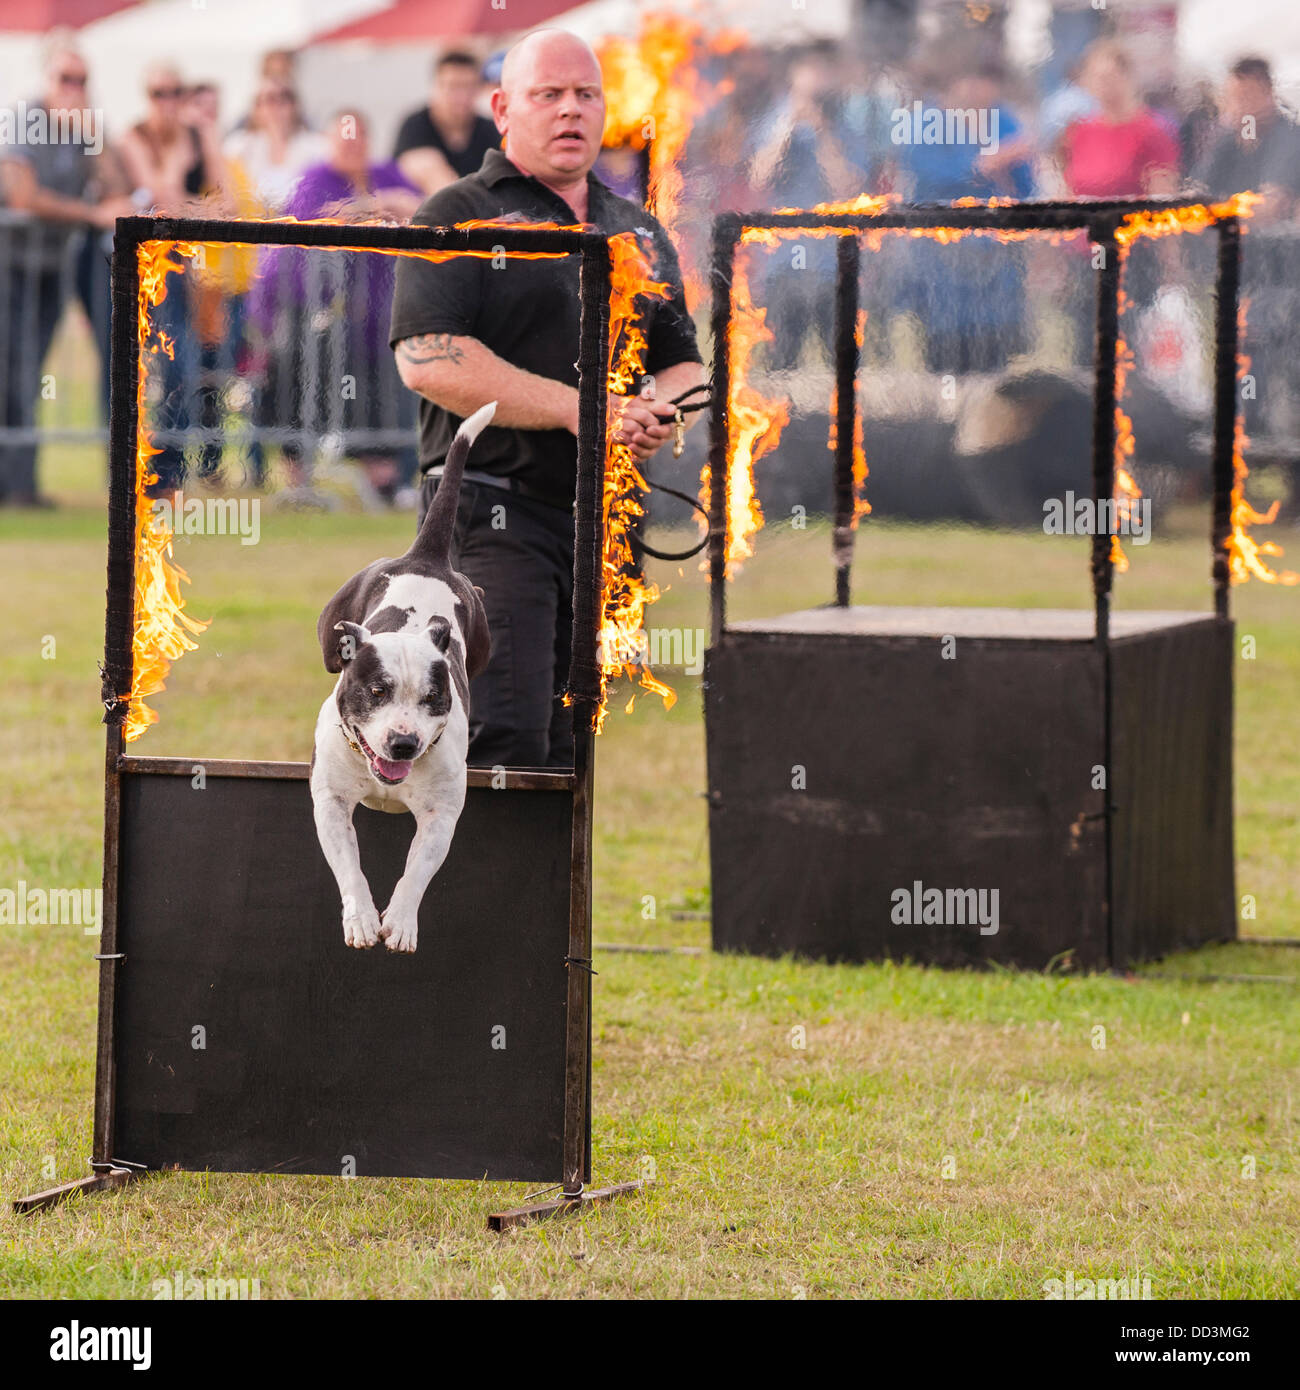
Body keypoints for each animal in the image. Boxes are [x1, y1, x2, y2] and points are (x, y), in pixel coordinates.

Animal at [311, 397, 497, 950]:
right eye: (377, 691)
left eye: (433, 699)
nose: (403, 742)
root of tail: (426, 557)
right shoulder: (331, 803)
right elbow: (348, 865)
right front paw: (361, 919)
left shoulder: (441, 816)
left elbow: (418, 869)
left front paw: (400, 922)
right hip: (332, 631)